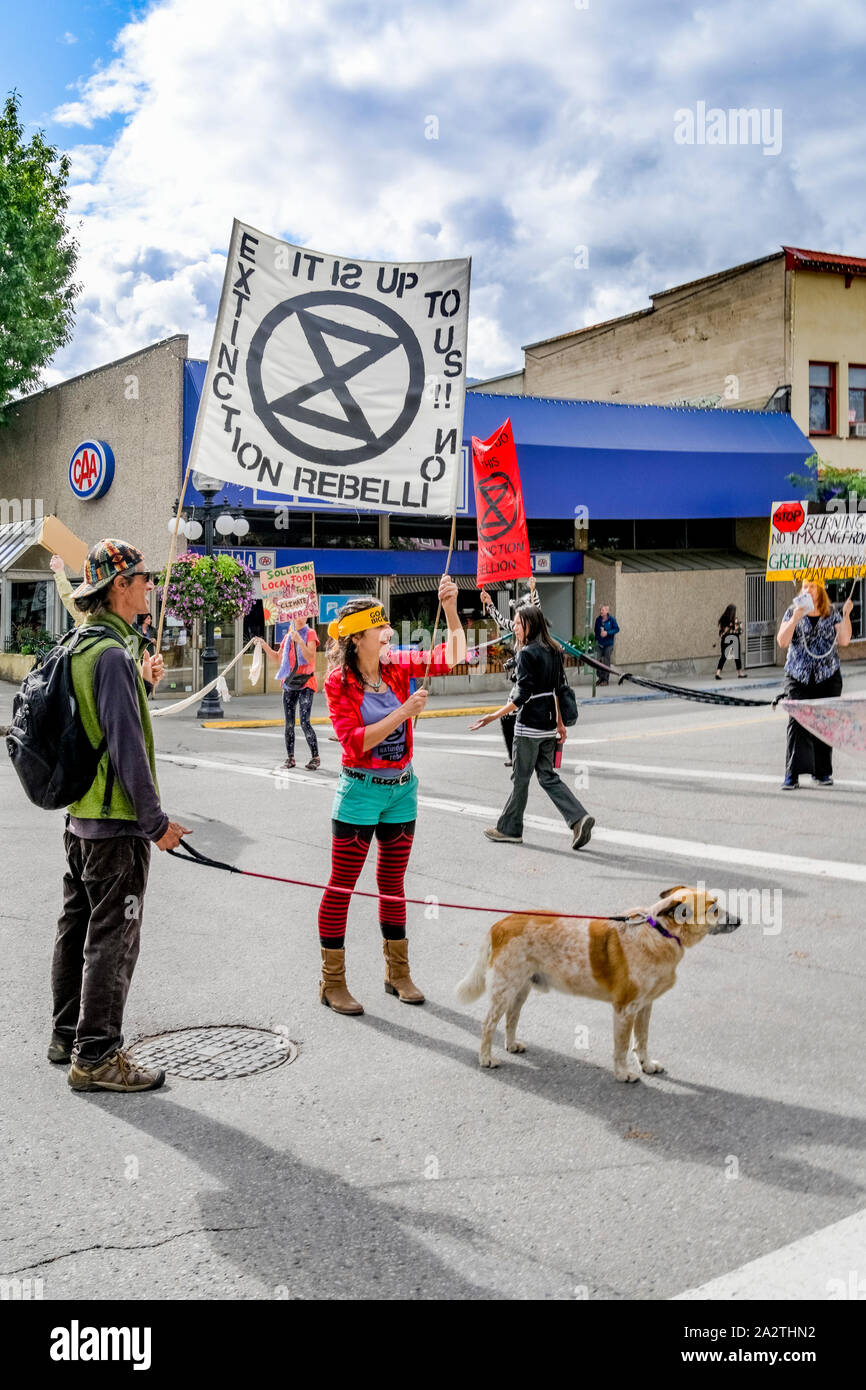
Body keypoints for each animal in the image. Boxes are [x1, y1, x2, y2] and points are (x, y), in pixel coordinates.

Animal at [458, 884, 739, 1078]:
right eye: (713, 908)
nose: (740, 920)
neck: (659, 931)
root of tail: (500, 924)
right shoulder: (625, 1009)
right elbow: (622, 1046)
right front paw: (623, 1073)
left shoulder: (645, 1006)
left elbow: (642, 1040)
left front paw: (646, 1065)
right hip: (505, 989)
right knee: (488, 1024)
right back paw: (486, 1058)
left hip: (520, 989)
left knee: (511, 1018)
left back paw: (512, 1045)